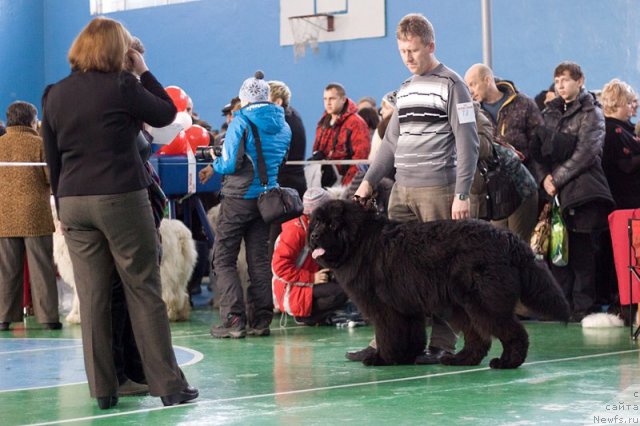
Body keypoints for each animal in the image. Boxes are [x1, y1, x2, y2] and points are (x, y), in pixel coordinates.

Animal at [53, 216, 196, 322]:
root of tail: (181, 233)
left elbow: (78, 297)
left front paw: (75, 316)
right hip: (179, 274)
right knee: (181, 294)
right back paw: (180, 313)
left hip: (164, 271)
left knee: (169, 295)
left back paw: (169, 313)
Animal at [308, 201, 568, 370]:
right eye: (316, 223)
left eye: (331, 225)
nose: (313, 237)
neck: (359, 241)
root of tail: (509, 238)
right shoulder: (405, 307)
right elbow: (408, 334)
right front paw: (404, 357)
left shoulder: (384, 308)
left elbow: (388, 334)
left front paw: (382, 358)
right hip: (460, 305)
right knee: (478, 337)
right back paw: (461, 360)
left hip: (484, 303)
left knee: (513, 332)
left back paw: (507, 363)